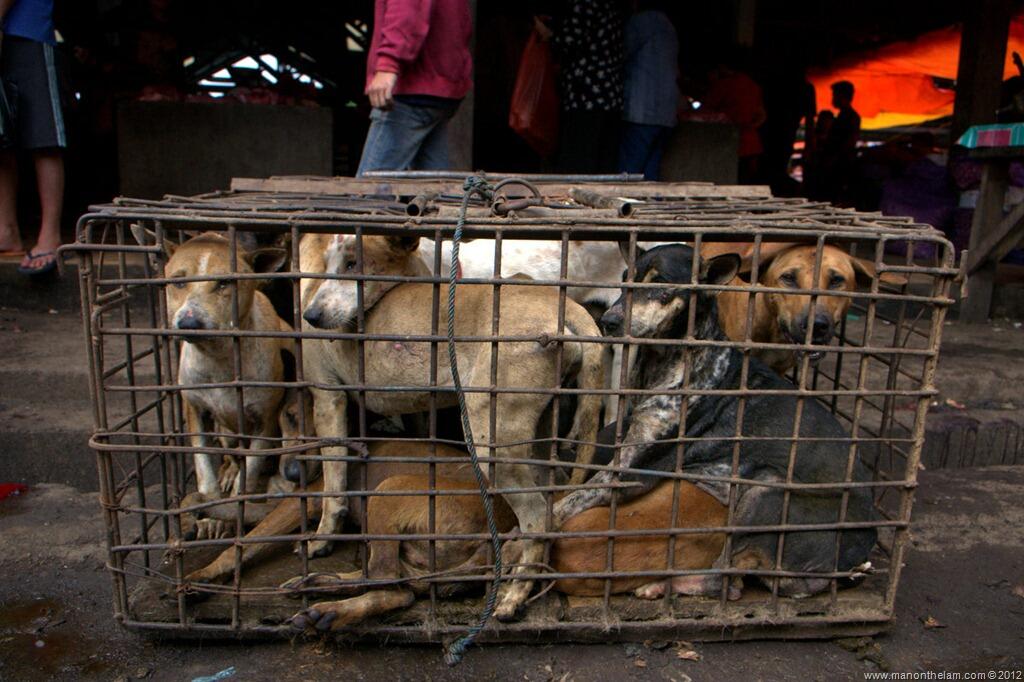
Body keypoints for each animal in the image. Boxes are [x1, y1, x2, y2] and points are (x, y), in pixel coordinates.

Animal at [557, 242, 876, 593]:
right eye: (625, 280)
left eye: (660, 283)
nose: (608, 321)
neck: (669, 359)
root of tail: (862, 547)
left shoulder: (629, 472)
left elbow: (564, 504)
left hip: (766, 491)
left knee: (728, 579)